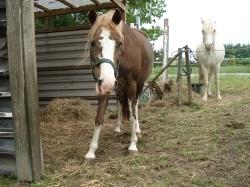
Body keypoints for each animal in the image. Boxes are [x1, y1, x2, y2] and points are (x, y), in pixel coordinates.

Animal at [85, 9, 153, 161]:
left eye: (119, 43)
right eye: (92, 43)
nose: (108, 81)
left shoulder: (131, 84)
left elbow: (132, 115)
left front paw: (133, 145)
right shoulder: (104, 85)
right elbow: (99, 117)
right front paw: (91, 151)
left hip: (138, 84)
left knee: (136, 105)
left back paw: (137, 130)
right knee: (120, 103)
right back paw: (118, 128)